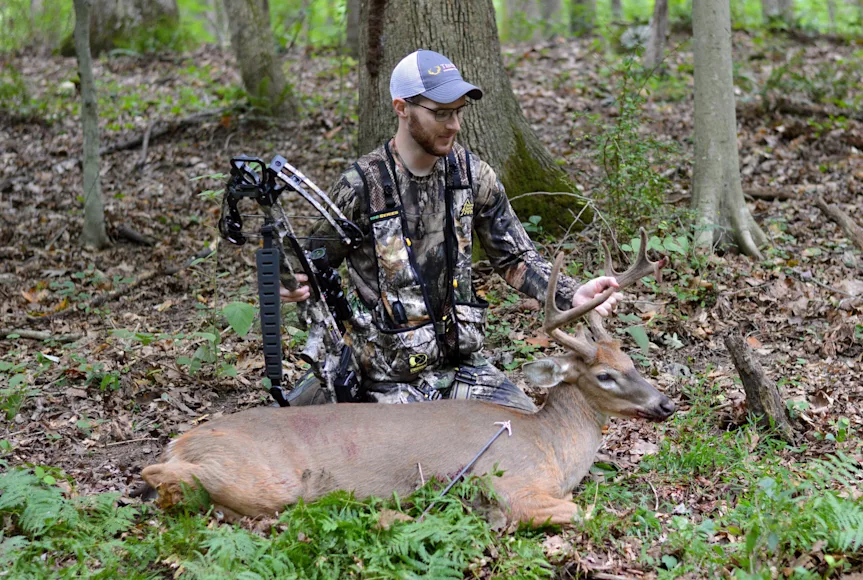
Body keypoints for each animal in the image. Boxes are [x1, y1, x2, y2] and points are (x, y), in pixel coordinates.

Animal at [141, 230, 675, 526]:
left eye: (631, 359)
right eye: (605, 375)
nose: (666, 404)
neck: (552, 448)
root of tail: (180, 441)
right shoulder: (514, 483)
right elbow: (583, 512)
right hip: (262, 476)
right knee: (162, 480)